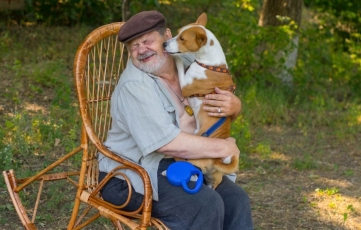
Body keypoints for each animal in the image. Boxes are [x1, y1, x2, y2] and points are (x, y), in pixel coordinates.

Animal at [164, 12, 239, 189]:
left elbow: (179, 65)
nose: (163, 44)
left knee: (188, 169)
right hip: (213, 179)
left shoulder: (185, 85)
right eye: (177, 33)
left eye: (182, 39)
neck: (210, 64)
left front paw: (176, 58)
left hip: (193, 154)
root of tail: (214, 160)